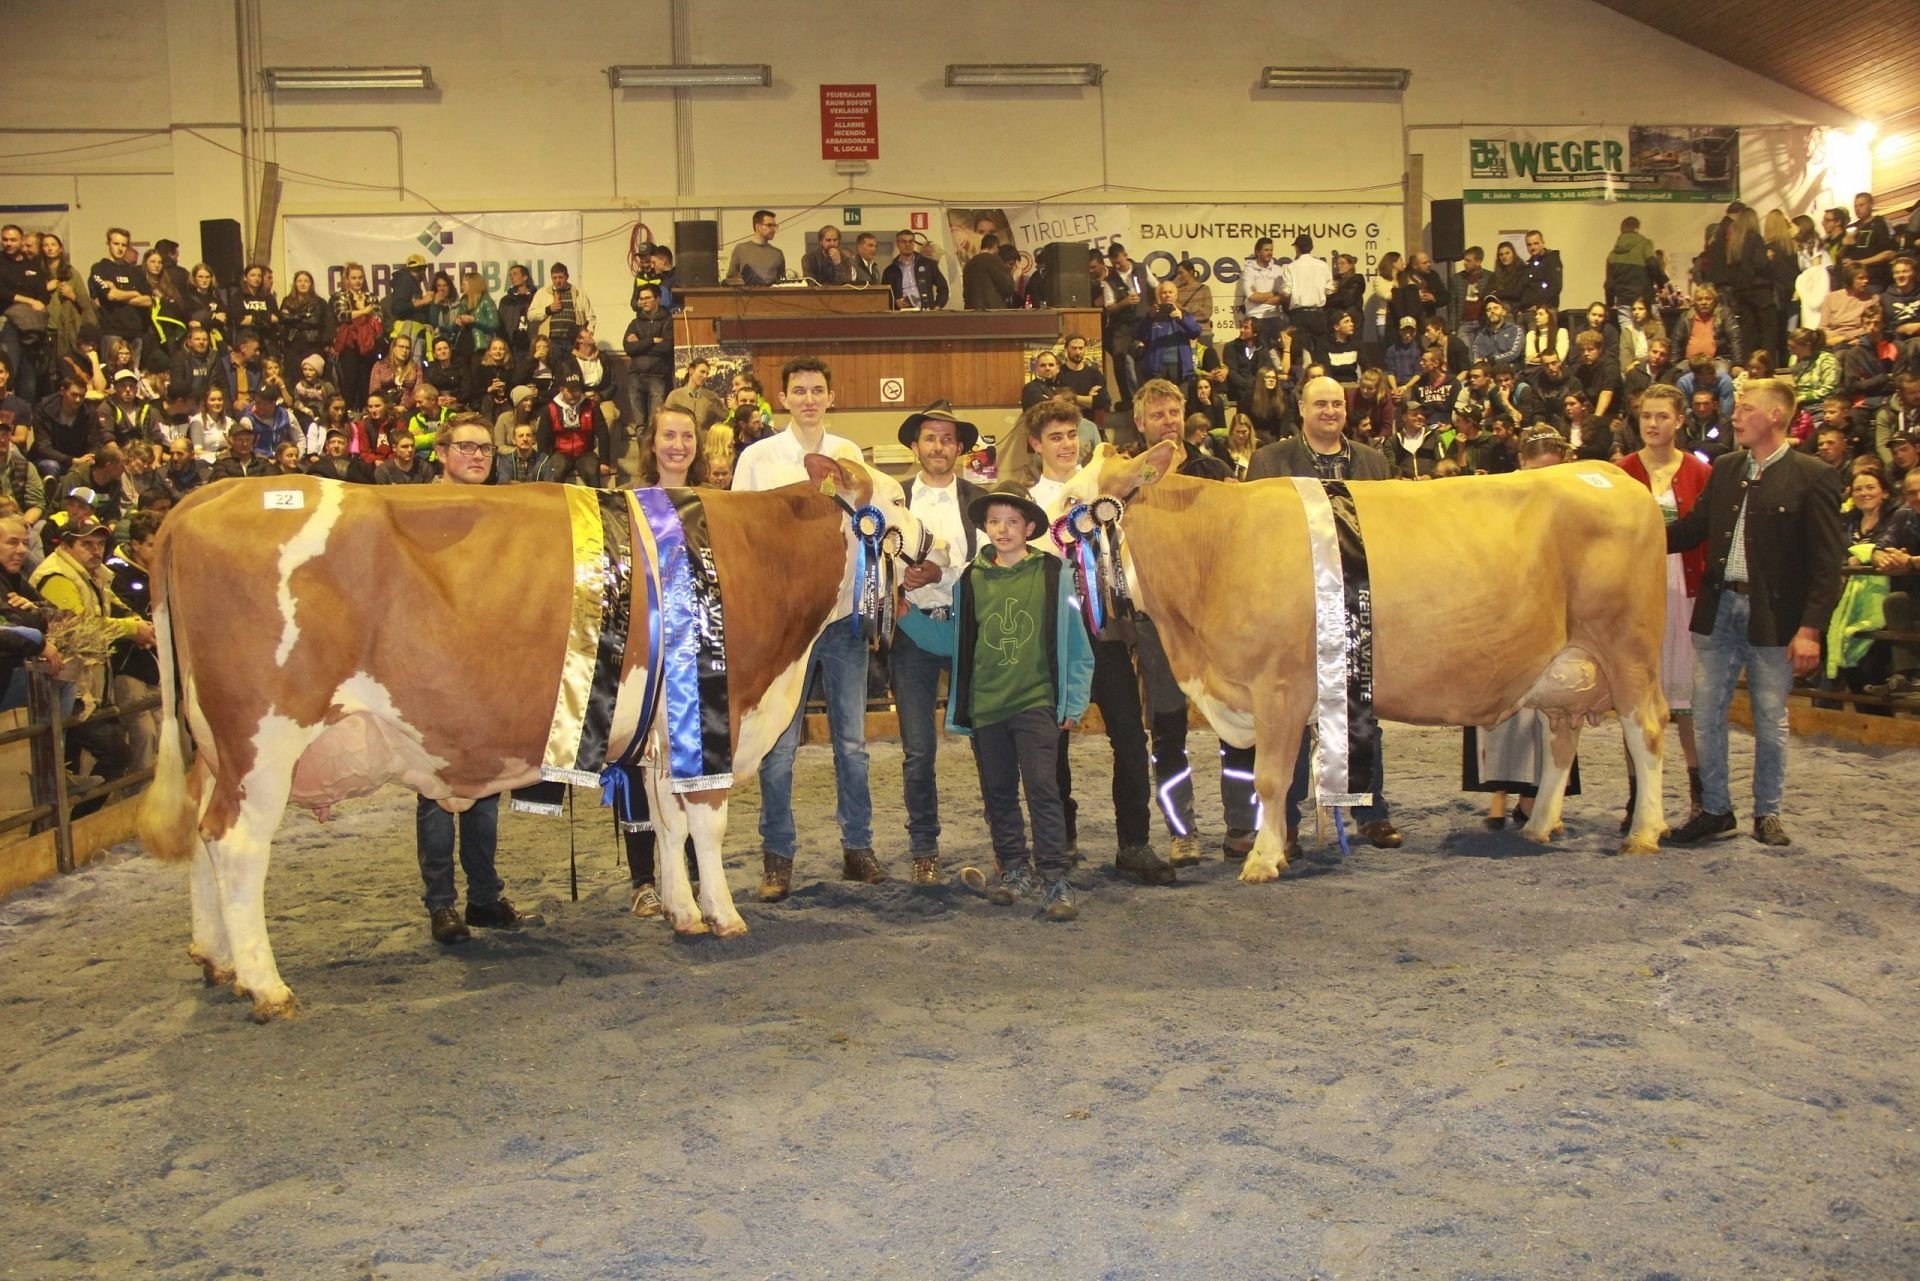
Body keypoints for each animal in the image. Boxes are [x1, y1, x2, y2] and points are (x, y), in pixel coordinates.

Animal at [137, 455, 929, 1014]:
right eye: (895, 500)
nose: (937, 543)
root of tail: (205, 499)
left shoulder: (661, 733)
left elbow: (668, 824)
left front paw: (682, 911)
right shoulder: (719, 710)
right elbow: (705, 823)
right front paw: (725, 915)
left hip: (214, 748)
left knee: (203, 838)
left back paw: (216, 960)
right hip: (262, 739)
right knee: (237, 845)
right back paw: (266, 985)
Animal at [1059, 443, 1674, 883]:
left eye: (1071, 502)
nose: (1040, 530)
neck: (1217, 545)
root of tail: (1609, 473)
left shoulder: (1278, 686)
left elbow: (1270, 778)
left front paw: (1262, 860)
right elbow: (1288, 781)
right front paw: (1283, 849)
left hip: (1629, 649)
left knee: (1645, 729)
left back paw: (1644, 832)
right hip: (1564, 667)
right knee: (1563, 738)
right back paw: (1541, 825)